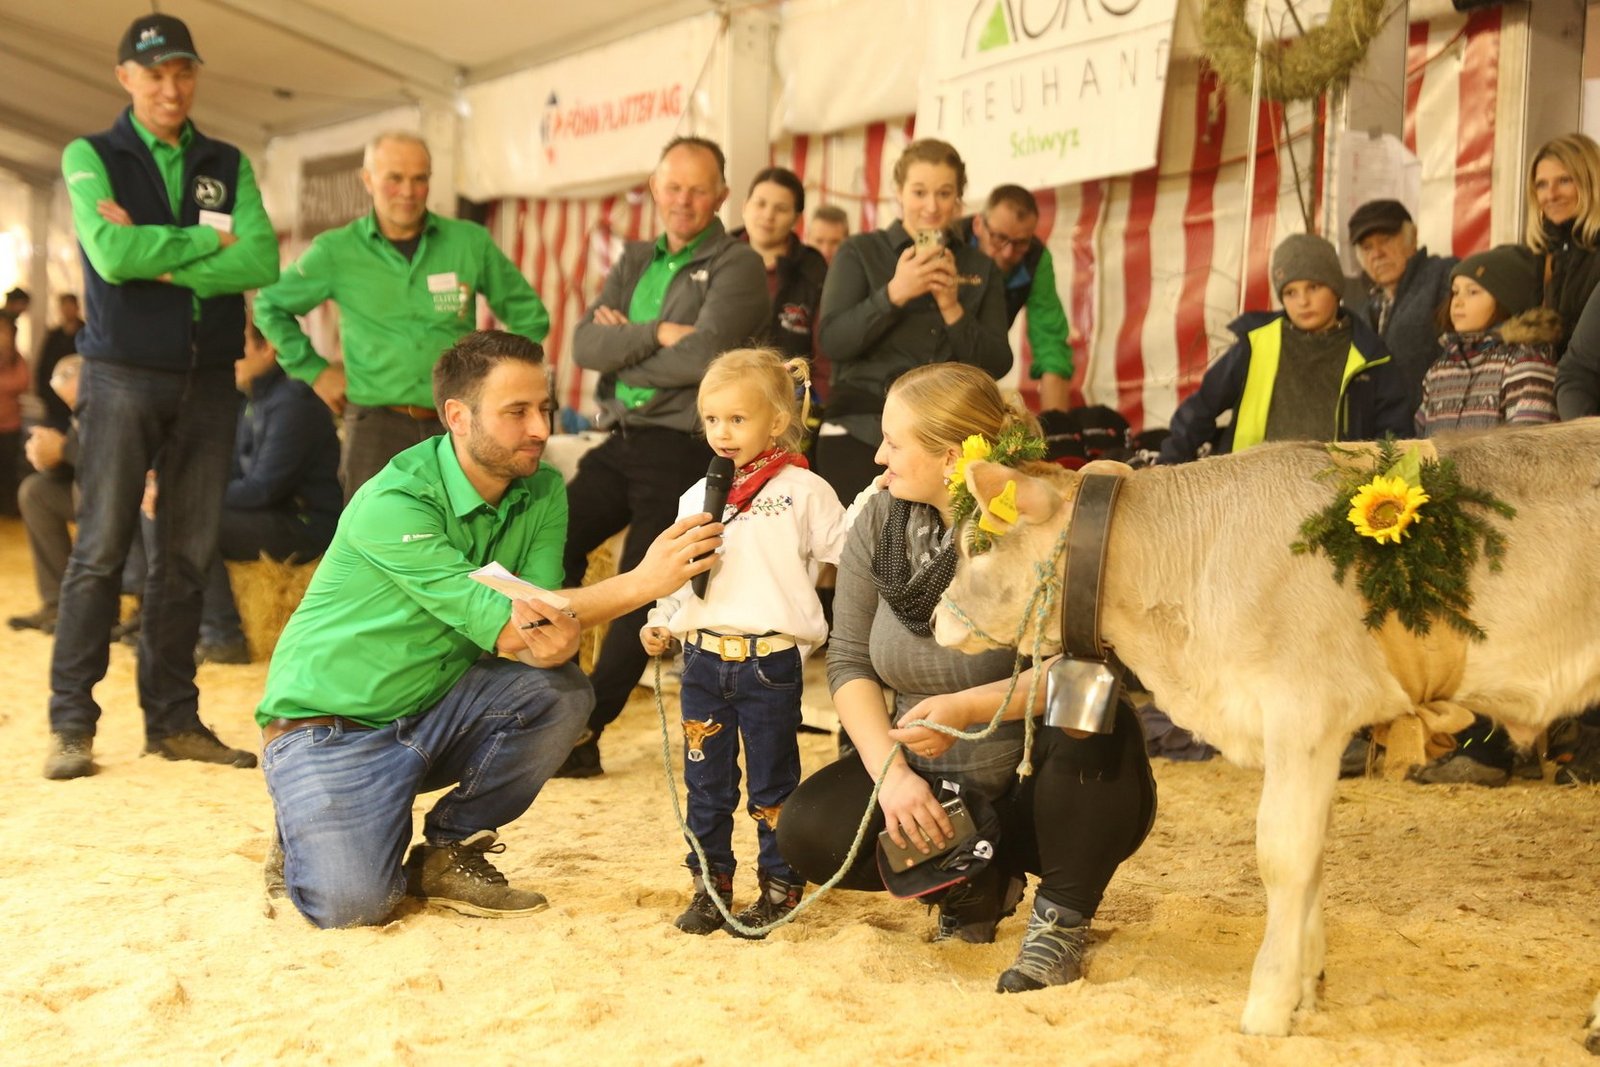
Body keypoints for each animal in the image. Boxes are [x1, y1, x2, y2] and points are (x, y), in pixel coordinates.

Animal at [931, 421, 1600, 1049]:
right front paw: (1306, 989)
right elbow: (1314, 854)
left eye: (978, 543)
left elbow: (1284, 855)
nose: (935, 618)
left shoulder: (1304, 709)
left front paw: (1269, 1006)